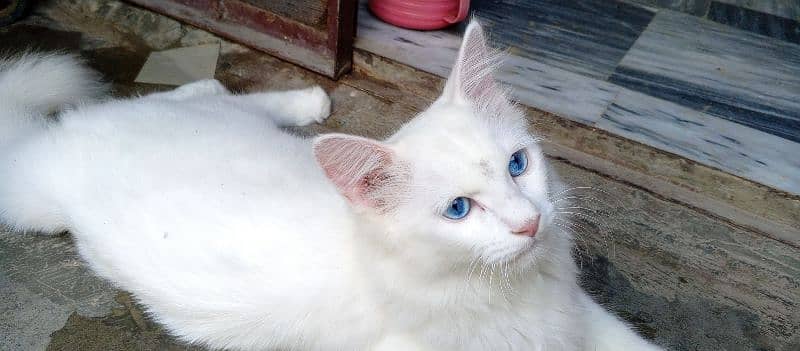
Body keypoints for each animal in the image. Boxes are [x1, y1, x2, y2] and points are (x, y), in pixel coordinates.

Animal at [0, 22, 664, 351]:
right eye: (458, 209)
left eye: (518, 165)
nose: (529, 222)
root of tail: (84, 121)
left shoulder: (578, 317)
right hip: (29, 195)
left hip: (215, 119)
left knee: (206, 92)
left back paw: (308, 102)